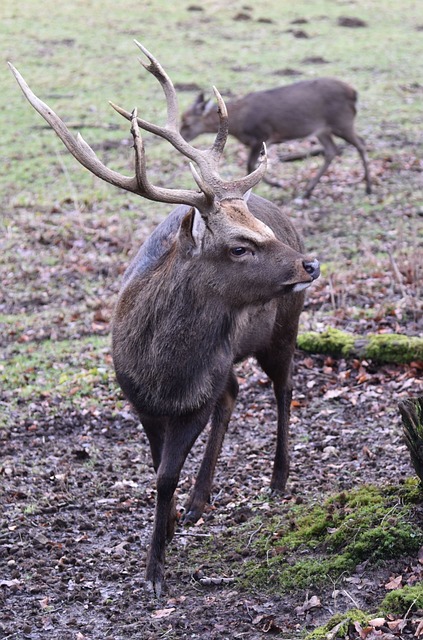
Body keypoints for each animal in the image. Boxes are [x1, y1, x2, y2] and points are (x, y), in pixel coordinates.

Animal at [9, 42, 322, 596]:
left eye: (258, 232)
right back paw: (199, 502)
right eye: (240, 245)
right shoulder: (139, 400)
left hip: (284, 325)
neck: (164, 372)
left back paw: (278, 481)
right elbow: (158, 468)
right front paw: (170, 526)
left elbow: (165, 475)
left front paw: (155, 570)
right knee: (236, 392)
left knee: (283, 386)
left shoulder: (194, 398)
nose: (311, 264)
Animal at [181, 78, 372, 198]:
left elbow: (251, 166)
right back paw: (308, 191)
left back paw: (368, 187)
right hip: (322, 129)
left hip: (342, 121)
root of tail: (354, 92)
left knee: (361, 144)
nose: (182, 137)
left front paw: (276, 185)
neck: (239, 123)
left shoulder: (261, 135)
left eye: (187, 123)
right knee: (332, 150)